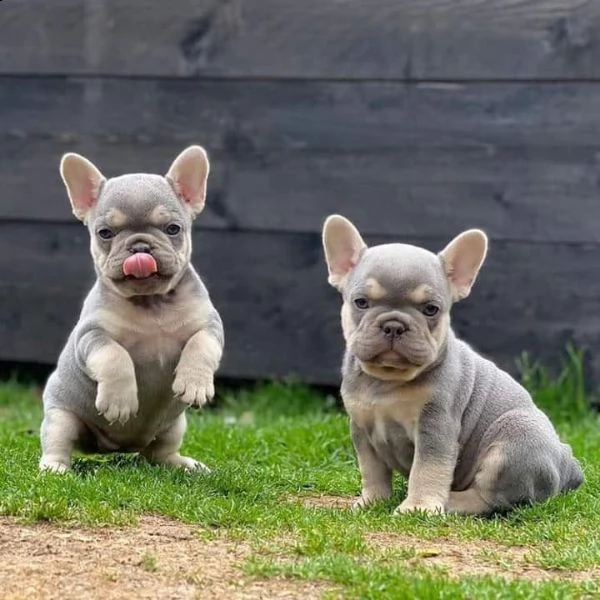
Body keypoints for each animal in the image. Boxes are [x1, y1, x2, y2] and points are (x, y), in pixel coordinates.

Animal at [39, 146, 225, 474]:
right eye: (105, 233)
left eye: (173, 229)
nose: (140, 247)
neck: (151, 302)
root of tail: (115, 448)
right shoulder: (91, 336)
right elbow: (114, 356)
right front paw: (119, 400)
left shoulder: (210, 325)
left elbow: (201, 344)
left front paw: (194, 383)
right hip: (60, 416)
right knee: (57, 441)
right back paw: (55, 469)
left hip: (175, 426)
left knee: (159, 453)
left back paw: (183, 464)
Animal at [322, 216, 584, 516]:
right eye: (361, 302)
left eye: (431, 309)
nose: (394, 325)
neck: (387, 380)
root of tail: (568, 467)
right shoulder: (362, 429)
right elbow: (372, 470)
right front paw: (372, 501)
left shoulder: (436, 427)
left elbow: (427, 469)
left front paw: (418, 507)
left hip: (514, 440)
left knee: (492, 498)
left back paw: (451, 502)